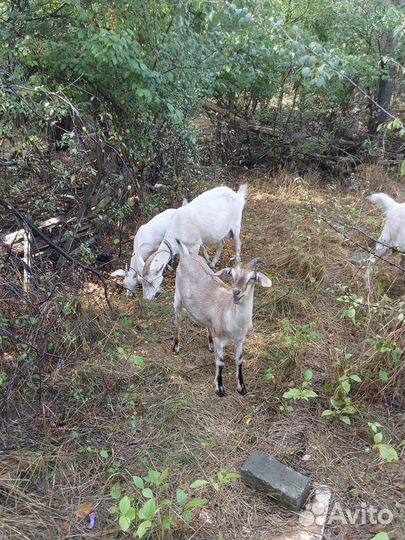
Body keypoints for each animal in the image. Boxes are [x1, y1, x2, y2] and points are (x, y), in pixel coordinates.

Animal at [171, 253, 270, 396]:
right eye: (232, 275)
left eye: (252, 277)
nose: (236, 292)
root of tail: (187, 256)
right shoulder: (220, 338)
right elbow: (220, 362)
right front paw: (219, 389)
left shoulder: (240, 339)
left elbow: (239, 360)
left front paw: (242, 387)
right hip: (177, 297)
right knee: (178, 318)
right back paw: (176, 346)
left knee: (207, 323)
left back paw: (210, 344)